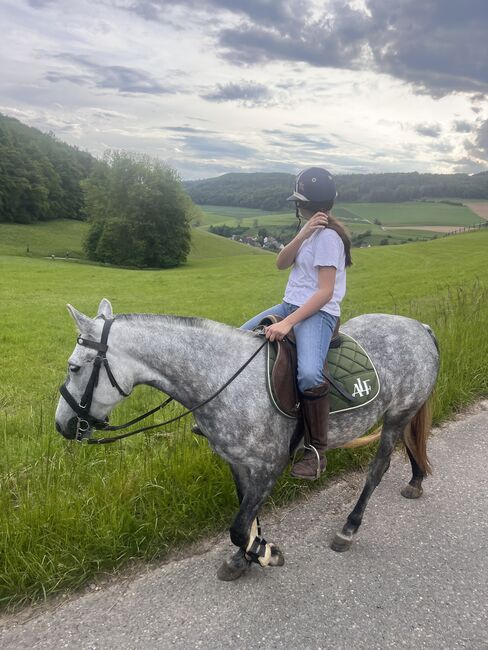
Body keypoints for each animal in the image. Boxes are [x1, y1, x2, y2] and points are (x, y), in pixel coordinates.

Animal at [56, 298, 438, 576]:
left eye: (74, 367)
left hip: (397, 415)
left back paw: (349, 529)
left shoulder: (270, 465)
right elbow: (246, 515)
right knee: (411, 444)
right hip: (403, 415)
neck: (223, 379)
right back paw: (416, 480)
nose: (62, 425)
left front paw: (263, 553)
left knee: (378, 469)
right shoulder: (238, 462)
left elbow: (239, 526)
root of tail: (419, 327)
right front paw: (248, 554)